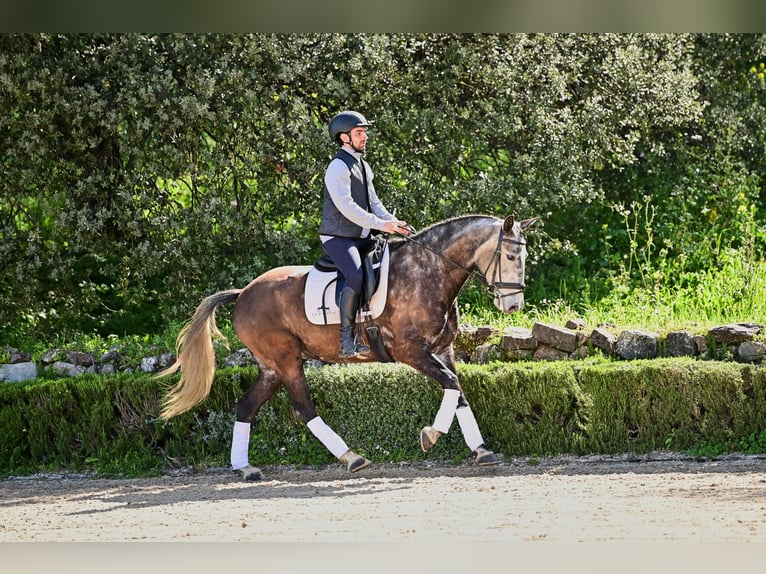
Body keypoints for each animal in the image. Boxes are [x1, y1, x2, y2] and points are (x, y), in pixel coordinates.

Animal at [158, 214, 536, 480]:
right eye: (511, 255)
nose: (513, 306)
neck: (429, 271)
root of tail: (243, 293)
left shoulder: (444, 351)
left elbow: (458, 392)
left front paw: (481, 450)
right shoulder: (411, 351)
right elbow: (451, 385)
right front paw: (430, 436)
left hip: (271, 367)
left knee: (246, 406)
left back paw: (245, 467)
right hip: (286, 360)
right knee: (305, 408)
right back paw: (352, 458)